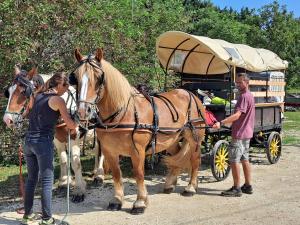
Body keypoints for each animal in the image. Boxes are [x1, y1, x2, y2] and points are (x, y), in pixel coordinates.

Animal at [2, 64, 107, 202]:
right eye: (8, 92)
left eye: (24, 92)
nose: (7, 119)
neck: (67, 107)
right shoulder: (57, 139)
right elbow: (63, 160)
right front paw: (64, 182)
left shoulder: (74, 138)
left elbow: (75, 163)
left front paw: (79, 190)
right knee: (96, 150)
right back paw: (95, 171)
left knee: (102, 151)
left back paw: (99, 175)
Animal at [69, 48, 206, 214]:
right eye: (75, 78)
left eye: (99, 77)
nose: (83, 111)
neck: (123, 113)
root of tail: (191, 94)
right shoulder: (110, 151)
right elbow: (116, 174)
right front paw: (117, 200)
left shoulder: (137, 151)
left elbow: (139, 174)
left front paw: (140, 202)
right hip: (171, 139)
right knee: (176, 158)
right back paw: (169, 185)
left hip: (195, 138)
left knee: (195, 160)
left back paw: (191, 187)